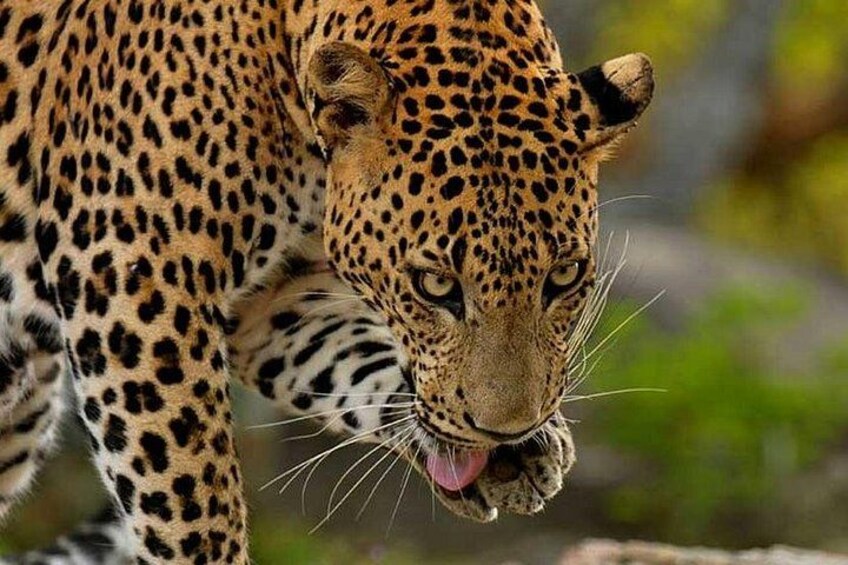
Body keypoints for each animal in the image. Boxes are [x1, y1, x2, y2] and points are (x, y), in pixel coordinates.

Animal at [0, 0, 653, 562]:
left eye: (564, 276)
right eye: (435, 286)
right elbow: (191, 497)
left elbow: (355, 363)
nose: (505, 431)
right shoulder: (130, 275)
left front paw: (517, 452)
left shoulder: (274, 300)